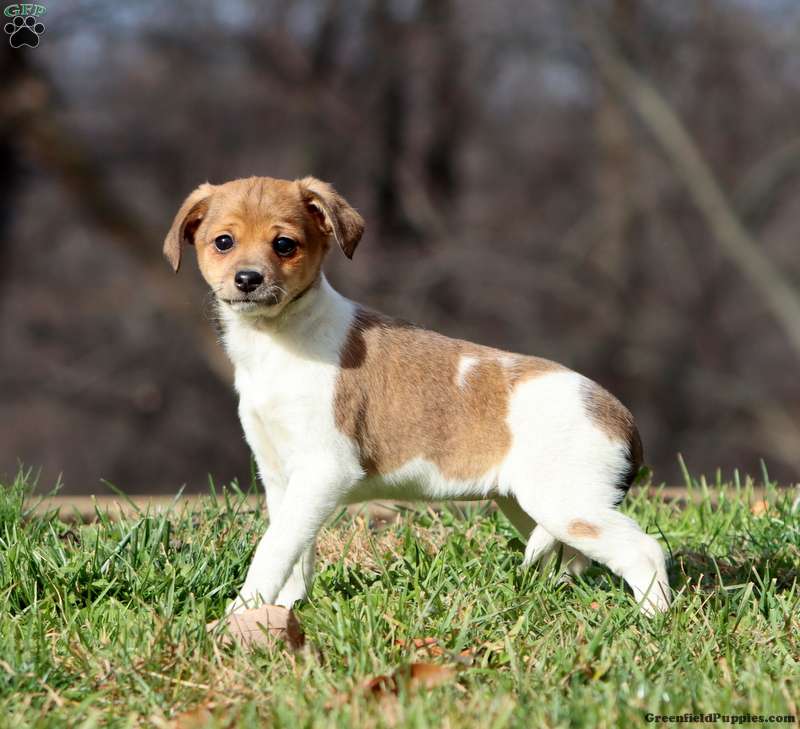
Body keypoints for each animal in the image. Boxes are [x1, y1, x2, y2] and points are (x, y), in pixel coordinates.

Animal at [163, 176, 671, 615]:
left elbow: (273, 548)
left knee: (643, 550)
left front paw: (240, 613)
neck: (277, 340)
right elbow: (294, 551)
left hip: (567, 504)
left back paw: (654, 621)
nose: (248, 279)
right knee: (574, 557)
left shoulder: (323, 470)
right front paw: (283, 610)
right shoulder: (280, 476)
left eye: (284, 244)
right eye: (223, 242)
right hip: (528, 503)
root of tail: (619, 414)